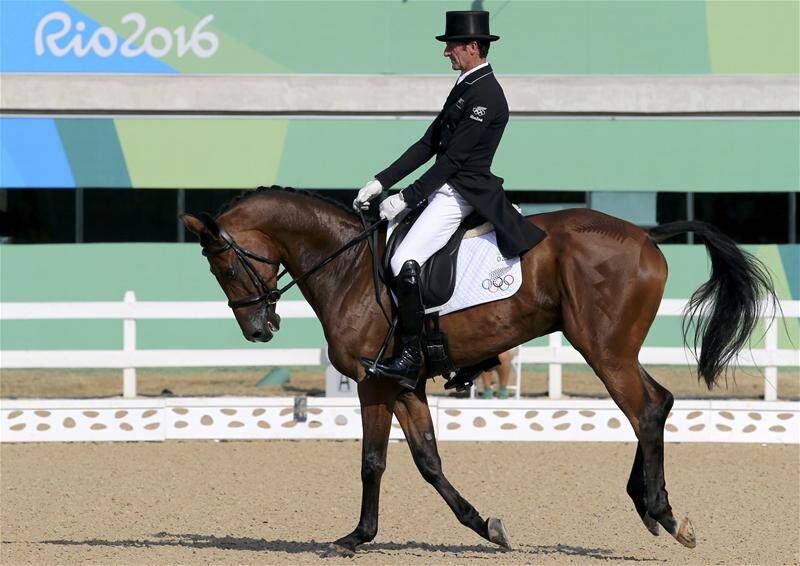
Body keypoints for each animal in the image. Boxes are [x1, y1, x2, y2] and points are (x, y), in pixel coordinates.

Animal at [181, 186, 776, 560]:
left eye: (224, 264)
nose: (259, 330)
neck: (347, 266)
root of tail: (646, 234)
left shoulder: (375, 382)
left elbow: (372, 462)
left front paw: (355, 537)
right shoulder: (404, 384)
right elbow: (427, 461)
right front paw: (485, 527)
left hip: (604, 351)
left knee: (647, 410)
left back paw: (665, 515)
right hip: (613, 350)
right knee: (658, 404)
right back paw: (648, 507)